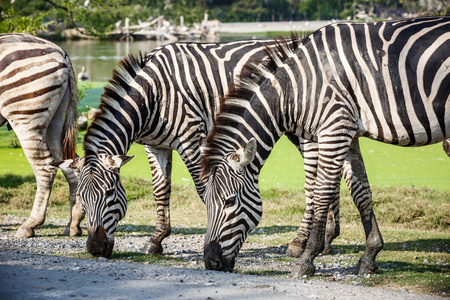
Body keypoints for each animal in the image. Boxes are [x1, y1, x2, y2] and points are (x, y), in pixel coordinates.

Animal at [0, 32, 81, 238]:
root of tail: (59, 51)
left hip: (25, 117)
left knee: (45, 169)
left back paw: (30, 225)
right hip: (55, 122)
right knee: (70, 164)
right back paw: (74, 224)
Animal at [200, 17, 450, 276]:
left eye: (229, 201)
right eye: (205, 201)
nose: (210, 262)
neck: (297, 88)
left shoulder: (335, 127)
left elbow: (322, 191)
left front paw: (307, 258)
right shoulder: (349, 133)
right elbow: (361, 192)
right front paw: (370, 256)